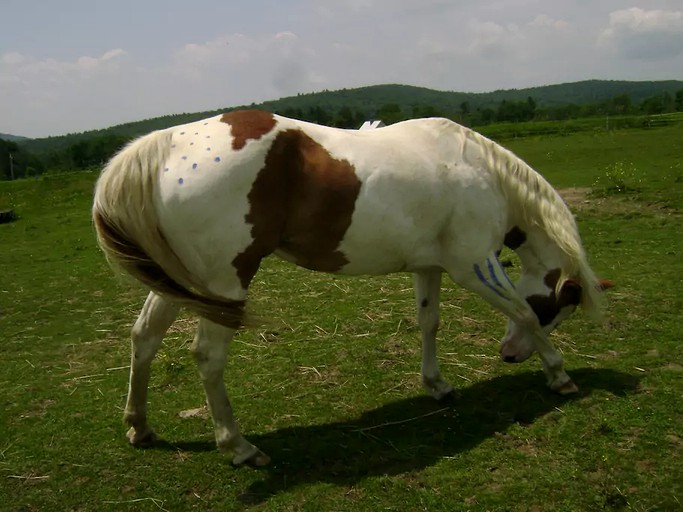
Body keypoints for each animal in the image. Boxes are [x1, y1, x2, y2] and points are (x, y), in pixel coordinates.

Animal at [92, 110, 616, 466]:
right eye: (556, 310)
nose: (509, 356)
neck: (478, 170)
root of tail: (167, 143)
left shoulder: (429, 266)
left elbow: (429, 322)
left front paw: (437, 385)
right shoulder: (476, 266)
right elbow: (520, 312)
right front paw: (559, 374)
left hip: (183, 283)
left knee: (145, 338)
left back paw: (140, 427)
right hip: (224, 284)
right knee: (207, 358)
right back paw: (238, 445)